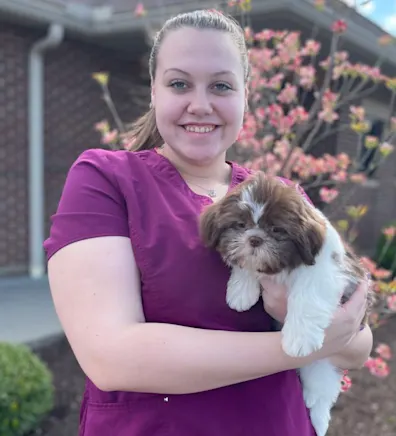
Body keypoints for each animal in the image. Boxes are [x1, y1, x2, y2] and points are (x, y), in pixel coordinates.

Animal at [200, 170, 372, 436]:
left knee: (324, 390)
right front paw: (241, 291)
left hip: (326, 362)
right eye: (241, 225)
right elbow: (246, 266)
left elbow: (307, 297)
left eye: (276, 229)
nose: (254, 239)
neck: (285, 265)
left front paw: (298, 340)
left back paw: (318, 417)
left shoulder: (326, 272)